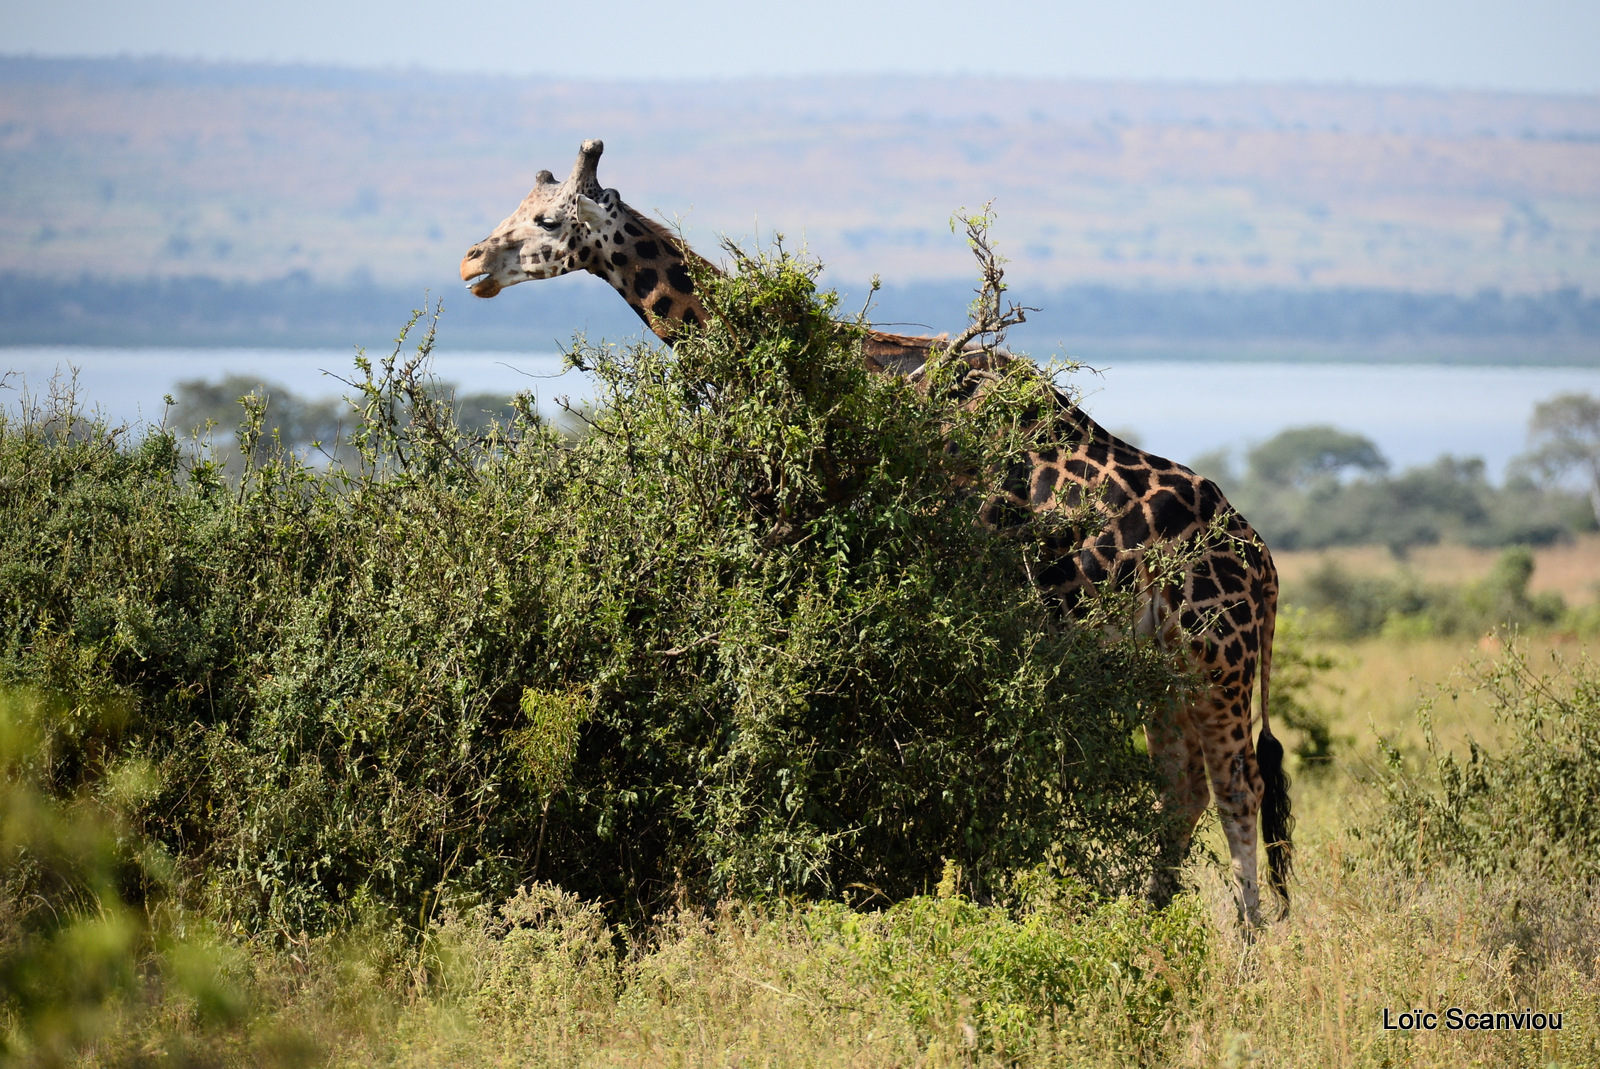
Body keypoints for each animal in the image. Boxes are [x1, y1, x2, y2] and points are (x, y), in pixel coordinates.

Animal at [457, 137, 1292, 921]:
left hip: (1217, 651)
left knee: (1239, 786)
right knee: (1182, 787)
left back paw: (1249, 947)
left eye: (549, 220)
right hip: (1165, 663)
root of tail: (1265, 567)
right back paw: (1153, 925)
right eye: (518, 208)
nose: (471, 262)